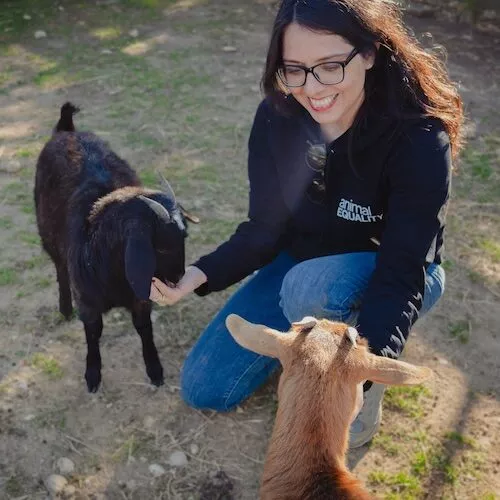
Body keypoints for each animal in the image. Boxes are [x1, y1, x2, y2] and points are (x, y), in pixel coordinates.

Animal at [35, 103, 193, 392]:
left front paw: (155, 370)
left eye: (184, 237)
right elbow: (93, 332)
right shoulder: (87, 300)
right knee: (59, 268)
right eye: (161, 248)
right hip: (47, 234)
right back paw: (64, 308)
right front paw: (92, 375)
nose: (178, 278)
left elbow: (143, 326)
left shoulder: (140, 298)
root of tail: (66, 130)